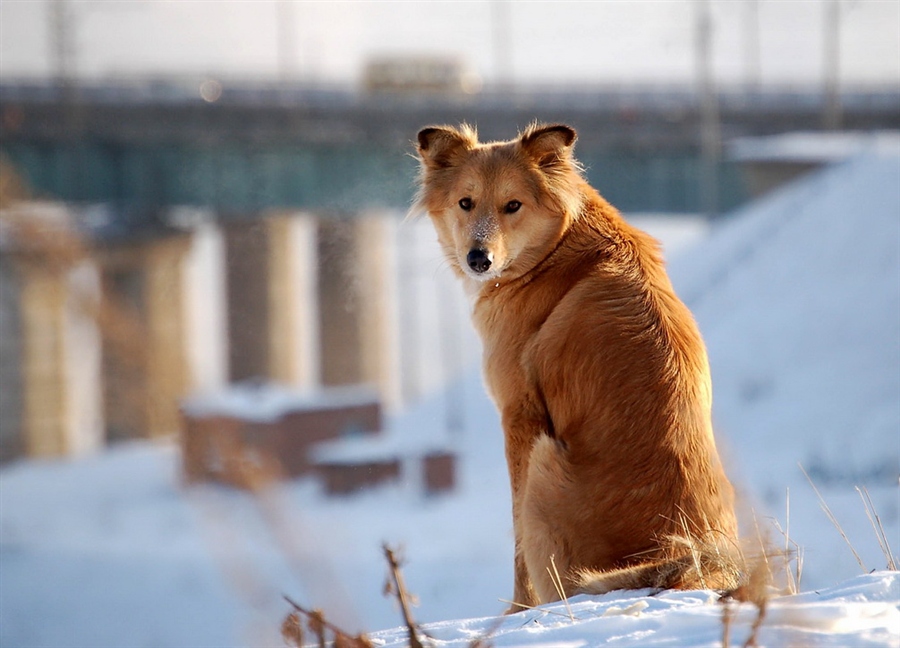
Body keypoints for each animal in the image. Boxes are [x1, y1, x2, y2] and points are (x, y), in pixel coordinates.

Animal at [414, 123, 744, 612]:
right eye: (465, 202)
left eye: (513, 205)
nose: (479, 259)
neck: (555, 249)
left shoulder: (520, 416)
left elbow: (516, 542)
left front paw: (519, 610)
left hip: (543, 463)